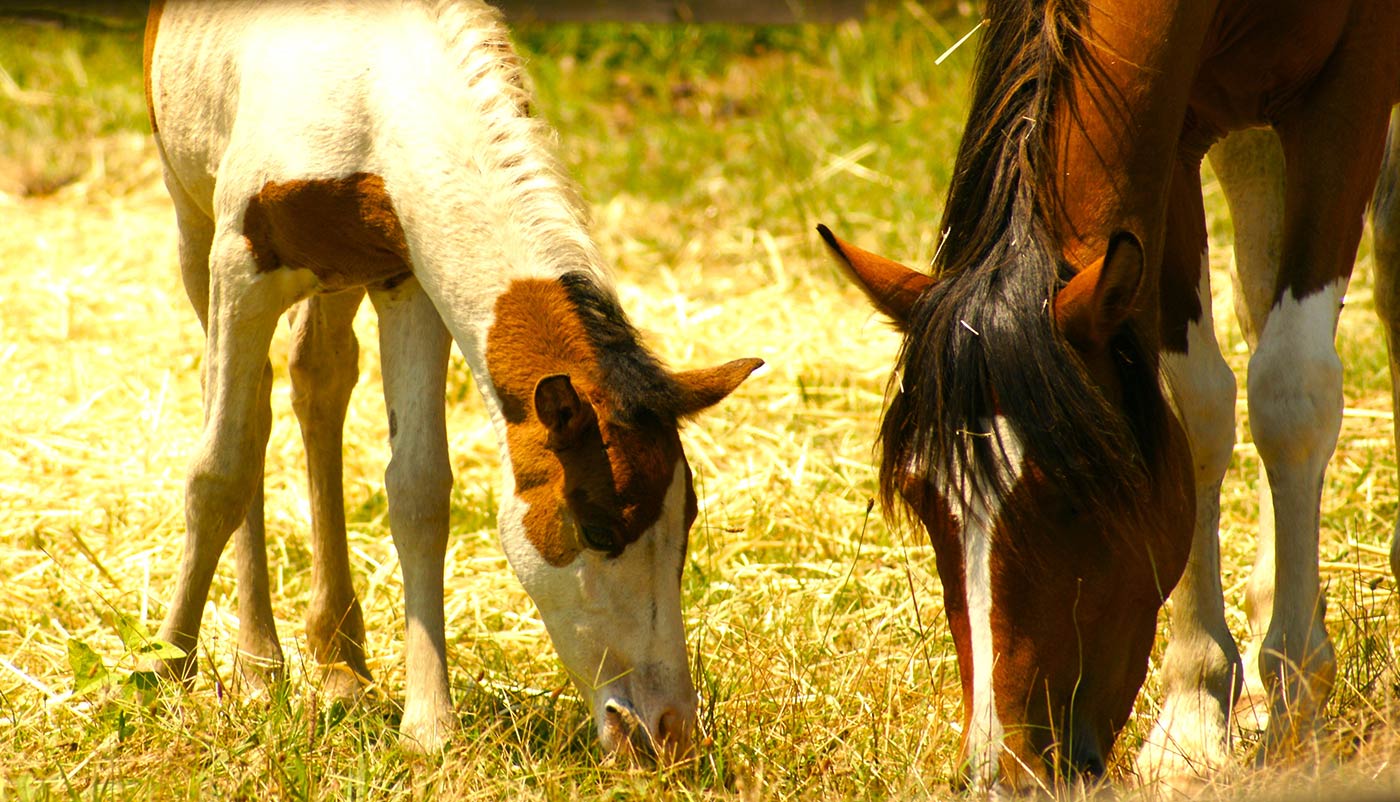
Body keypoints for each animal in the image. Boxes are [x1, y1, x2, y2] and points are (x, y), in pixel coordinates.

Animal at [146, 0, 761, 755]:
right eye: (597, 531)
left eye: (688, 517)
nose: (667, 732)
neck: (371, 91)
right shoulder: (242, 267)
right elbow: (220, 470)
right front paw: (164, 670)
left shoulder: (407, 280)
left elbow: (417, 492)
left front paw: (429, 726)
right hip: (193, 227)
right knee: (248, 407)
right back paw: (259, 666)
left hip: (337, 280)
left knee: (317, 382)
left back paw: (341, 664)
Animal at [817, 0, 1400, 789]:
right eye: (920, 498)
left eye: (1078, 498)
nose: (1007, 773)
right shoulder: (1179, 129)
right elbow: (1199, 409)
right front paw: (1195, 716)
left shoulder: (1351, 87)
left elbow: (1292, 391)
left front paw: (1296, 715)